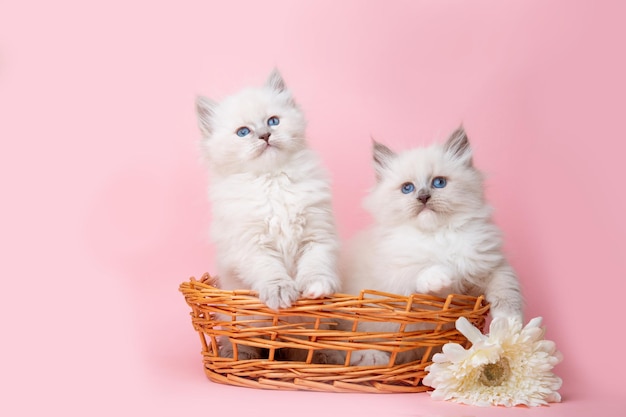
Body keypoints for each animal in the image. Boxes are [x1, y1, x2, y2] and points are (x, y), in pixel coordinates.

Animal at [196, 69, 338, 360]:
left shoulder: (316, 235)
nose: (264, 136)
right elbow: (271, 271)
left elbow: (316, 265)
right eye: (243, 132)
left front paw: (316, 288)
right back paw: (241, 357)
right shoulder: (252, 245)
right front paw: (282, 292)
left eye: (273, 121)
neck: (273, 181)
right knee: (245, 342)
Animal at [338, 126, 520, 364]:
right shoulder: (394, 278)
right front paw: (441, 277)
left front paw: (508, 323)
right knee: (344, 348)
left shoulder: (490, 265)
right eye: (407, 188)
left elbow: (507, 289)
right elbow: (422, 270)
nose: (423, 197)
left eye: (439, 183)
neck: (438, 236)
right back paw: (372, 357)